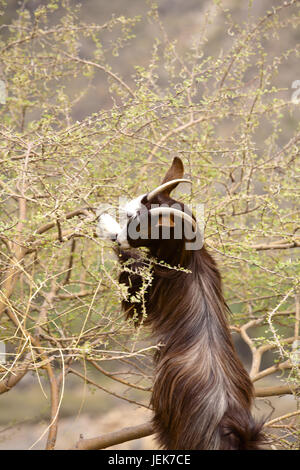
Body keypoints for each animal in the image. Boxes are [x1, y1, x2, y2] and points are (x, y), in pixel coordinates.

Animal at [98, 159, 262, 452]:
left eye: (136, 221)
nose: (119, 238)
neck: (188, 258)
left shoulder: (146, 290)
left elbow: (131, 283)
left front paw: (105, 224)